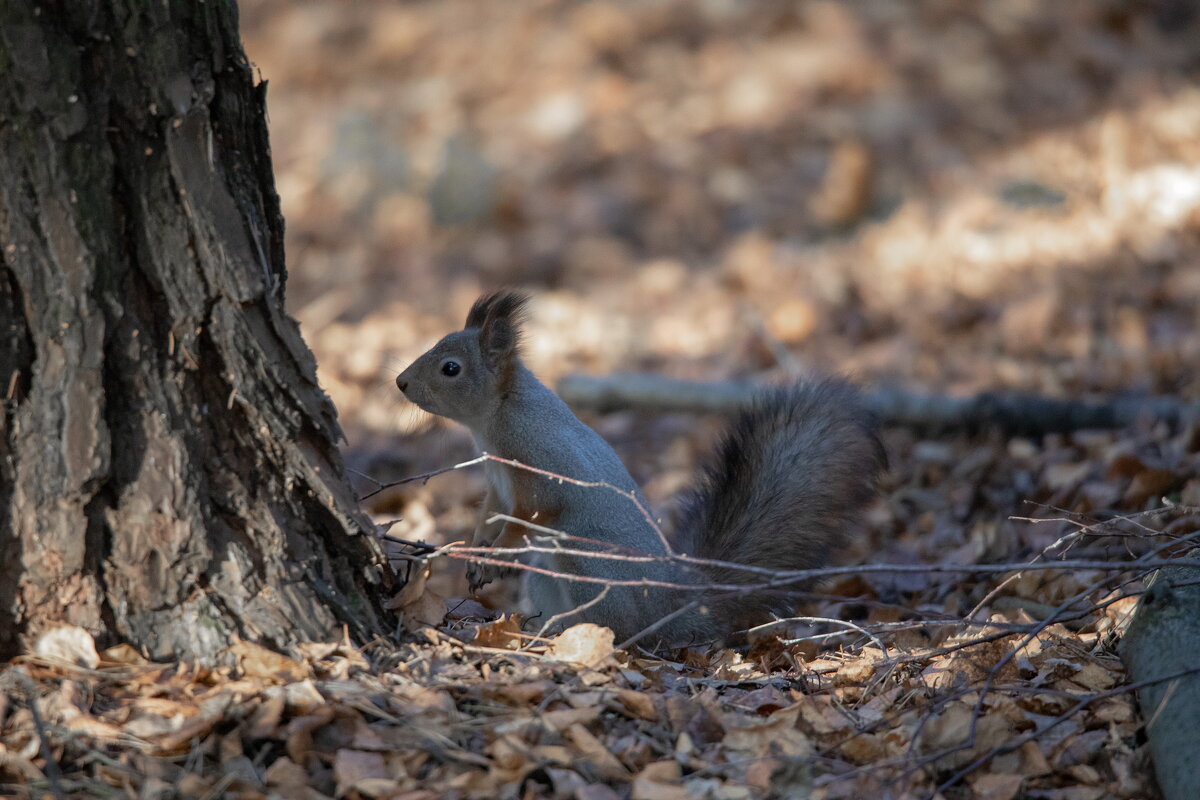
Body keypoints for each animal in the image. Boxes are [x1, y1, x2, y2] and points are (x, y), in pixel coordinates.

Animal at [393, 291, 883, 647]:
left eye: (450, 368)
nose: (400, 382)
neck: (495, 419)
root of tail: (668, 610)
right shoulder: (498, 482)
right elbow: (490, 513)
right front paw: (477, 547)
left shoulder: (539, 465)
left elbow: (527, 517)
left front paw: (493, 556)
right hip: (546, 576)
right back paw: (539, 630)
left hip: (583, 561)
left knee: (620, 630)